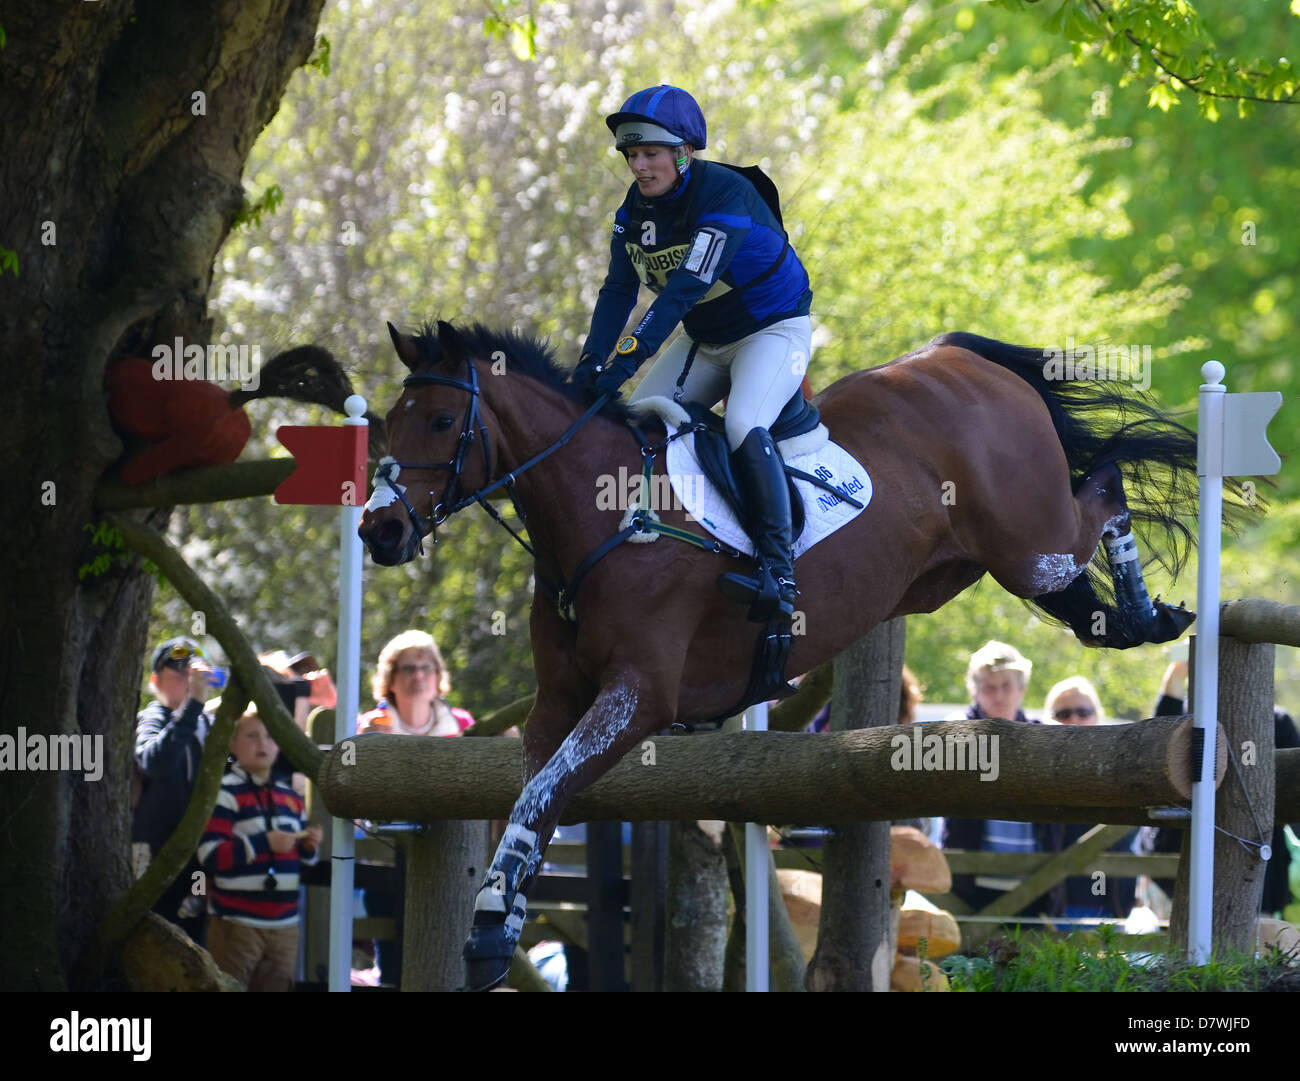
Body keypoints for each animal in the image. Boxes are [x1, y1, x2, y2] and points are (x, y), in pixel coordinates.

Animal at [358, 318, 1206, 987]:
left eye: (441, 420)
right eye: (390, 421)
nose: (379, 530)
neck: (607, 513)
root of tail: (956, 355)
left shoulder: (637, 697)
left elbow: (541, 794)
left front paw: (489, 927)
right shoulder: (561, 700)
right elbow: (532, 799)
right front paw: (494, 926)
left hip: (1029, 549)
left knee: (1107, 488)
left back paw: (1149, 608)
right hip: (979, 566)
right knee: (1088, 584)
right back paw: (1143, 618)